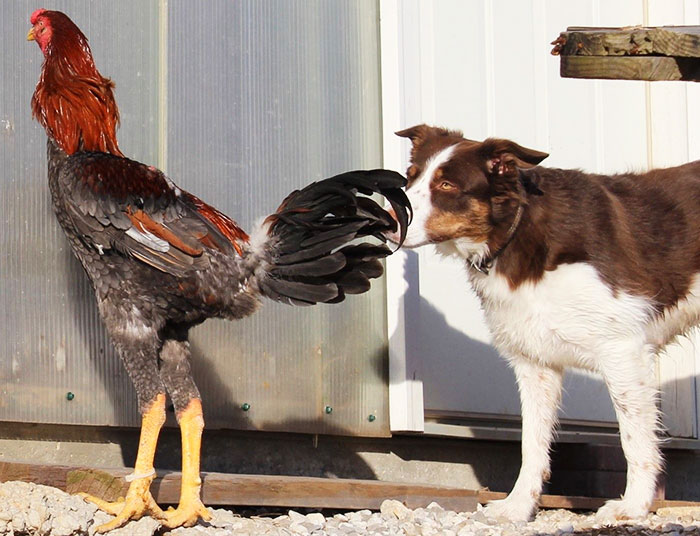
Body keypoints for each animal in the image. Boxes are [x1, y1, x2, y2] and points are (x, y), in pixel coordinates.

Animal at [394, 124, 700, 520]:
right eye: (410, 176)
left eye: (447, 185)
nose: (388, 217)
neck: (516, 231)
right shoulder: (534, 361)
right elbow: (532, 442)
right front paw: (517, 507)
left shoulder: (623, 349)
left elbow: (633, 438)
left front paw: (632, 506)